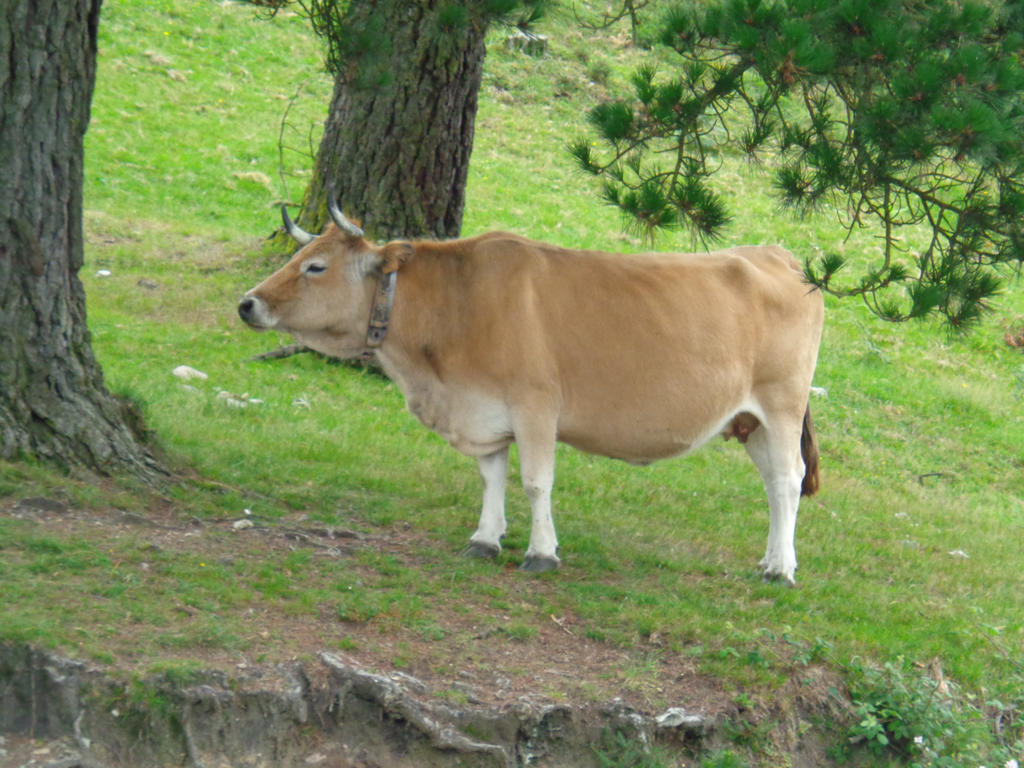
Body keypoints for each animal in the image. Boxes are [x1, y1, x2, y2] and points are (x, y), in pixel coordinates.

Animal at [238, 199, 824, 583]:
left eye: (316, 266)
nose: (248, 303)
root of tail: (780, 255)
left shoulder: (536, 407)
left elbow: (536, 483)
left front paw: (541, 554)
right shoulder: (483, 411)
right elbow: (491, 477)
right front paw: (484, 539)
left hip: (781, 405)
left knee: (788, 479)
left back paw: (781, 569)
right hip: (749, 420)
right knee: (774, 484)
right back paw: (772, 558)